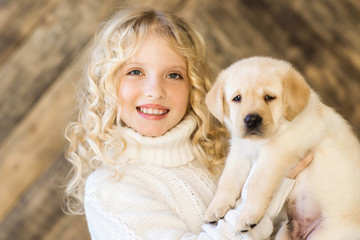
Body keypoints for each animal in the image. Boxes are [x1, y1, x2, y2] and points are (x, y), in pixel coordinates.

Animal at [204, 56, 360, 238]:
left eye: (269, 97)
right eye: (237, 98)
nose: (252, 120)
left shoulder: (278, 150)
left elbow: (257, 182)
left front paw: (248, 216)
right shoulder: (240, 151)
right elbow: (227, 180)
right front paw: (215, 207)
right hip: (284, 233)